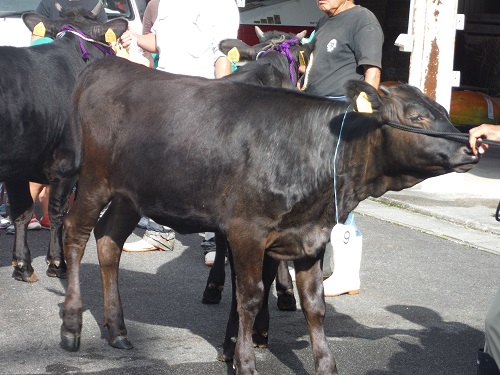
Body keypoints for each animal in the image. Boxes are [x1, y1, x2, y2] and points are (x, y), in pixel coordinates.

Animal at [0, 5, 129, 282]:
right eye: (107, 44)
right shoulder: (66, 164)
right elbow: (59, 213)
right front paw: (58, 262)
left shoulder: (17, 167)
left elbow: (22, 211)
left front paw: (22, 265)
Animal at [60, 56, 478, 375]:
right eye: (415, 116)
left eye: (444, 111)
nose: (471, 148)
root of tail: (108, 64)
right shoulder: (246, 231)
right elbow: (249, 297)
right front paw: (243, 361)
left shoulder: (310, 236)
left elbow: (315, 305)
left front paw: (326, 364)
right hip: (94, 181)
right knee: (75, 235)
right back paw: (72, 325)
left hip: (129, 195)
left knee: (109, 242)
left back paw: (117, 330)